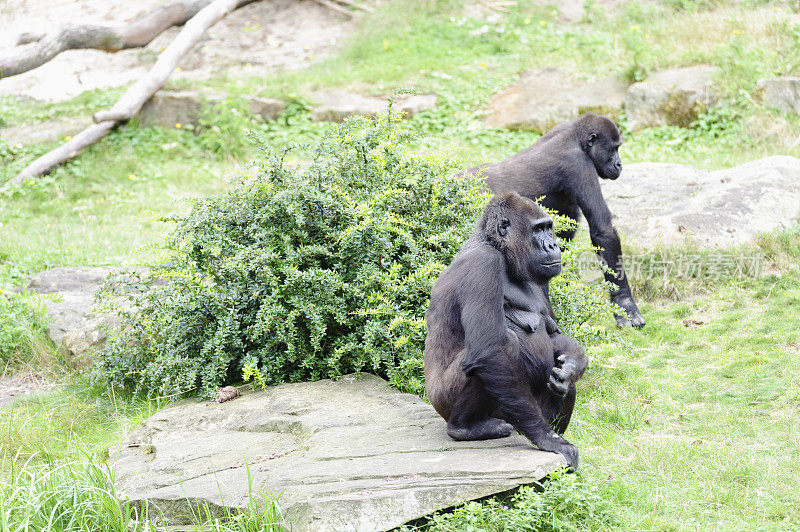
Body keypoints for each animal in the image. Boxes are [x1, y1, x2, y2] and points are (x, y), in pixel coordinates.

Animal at [424, 191, 588, 470]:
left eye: (549, 228)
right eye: (538, 230)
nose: (553, 246)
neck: (500, 250)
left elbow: (554, 337)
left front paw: (574, 365)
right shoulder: (482, 265)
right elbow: (491, 351)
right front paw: (548, 438)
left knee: (561, 384)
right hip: (444, 401)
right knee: (502, 350)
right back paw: (464, 427)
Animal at [466, 112, 648, 328]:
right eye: (614, 149)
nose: (619, 164)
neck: (576, 138)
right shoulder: (578, 165)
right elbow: (603, 231)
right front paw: (625, 305)